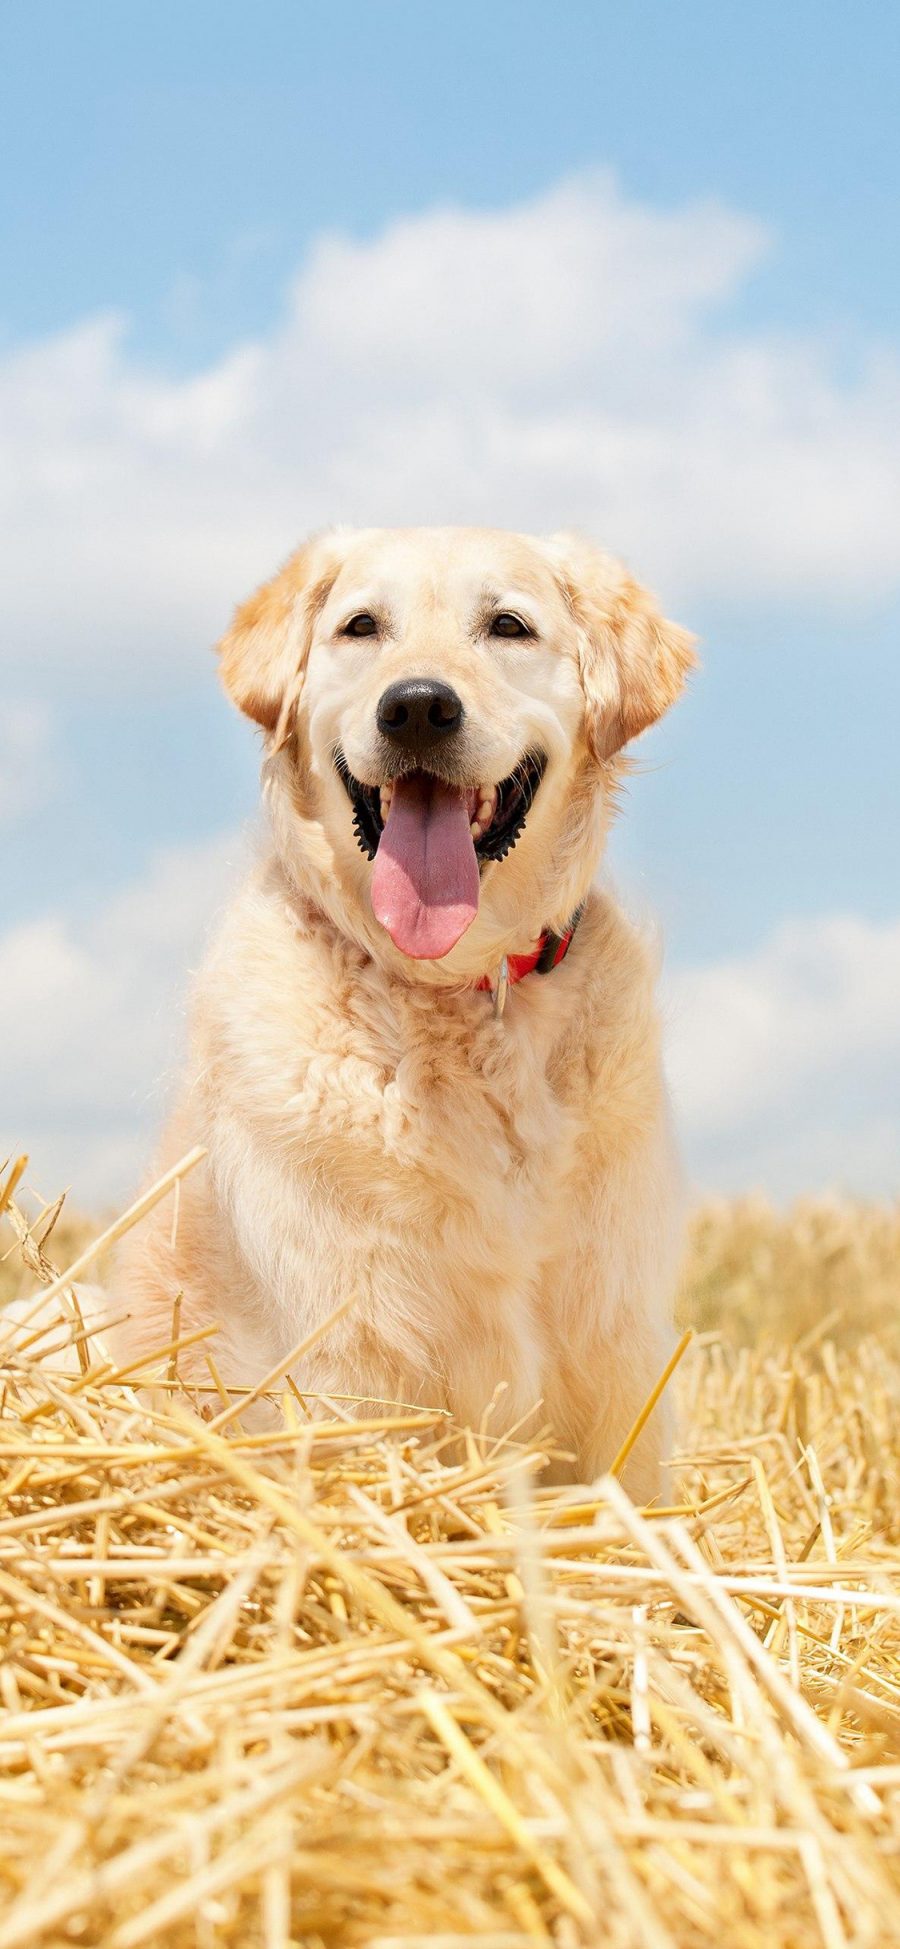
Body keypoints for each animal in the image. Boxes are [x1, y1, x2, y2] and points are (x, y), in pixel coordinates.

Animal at [109, 526, 693, 1496]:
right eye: (362, 626)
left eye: (508, 625)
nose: (417, 708)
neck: (454, 989)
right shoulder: (348, 1357)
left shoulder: (616, 1363)